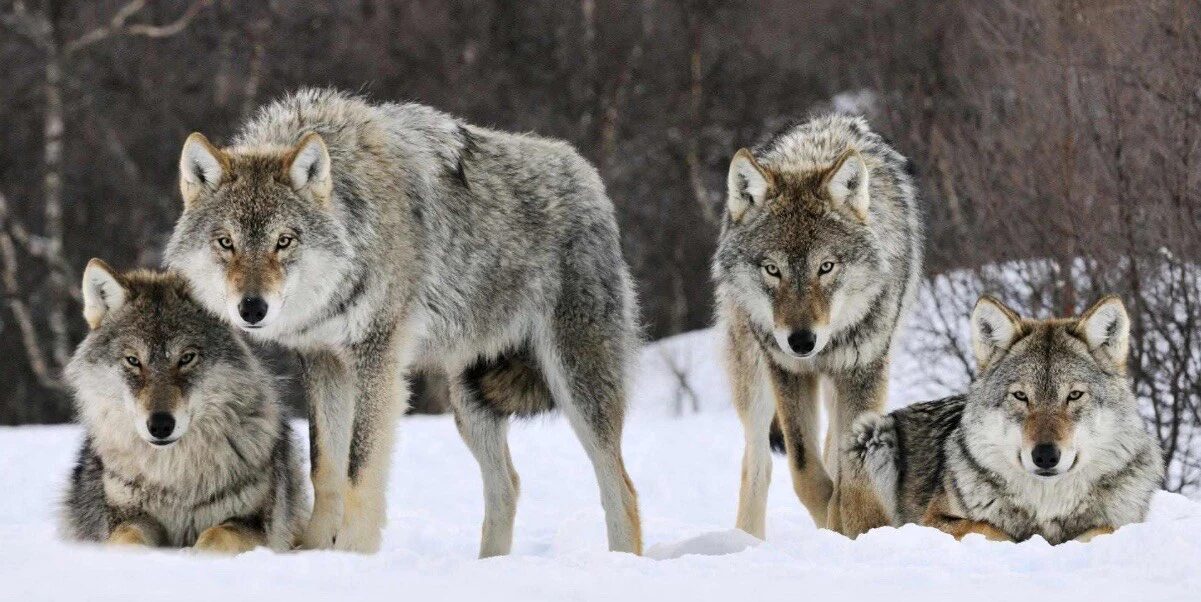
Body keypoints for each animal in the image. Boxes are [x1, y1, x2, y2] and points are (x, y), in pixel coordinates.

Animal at [62, 260, 308, 553]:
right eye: (133, 360)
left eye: (187, 358)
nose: (160, 425)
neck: (175, 477)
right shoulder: (127, 516)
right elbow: (127, 539)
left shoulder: (253, 524)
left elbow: (216, 536)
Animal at [165, 89, 642, 556]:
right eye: (226, 242)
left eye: (284, 241)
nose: (252, 309)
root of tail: (588, 175)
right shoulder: (323, 361)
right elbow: (325, 468)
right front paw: (315, 551)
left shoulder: (378, 359)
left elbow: (359, 470)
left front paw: (352, 554)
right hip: (469, 400)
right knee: (508, 485)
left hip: (576, 384)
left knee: (621, 488)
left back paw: (622, 560)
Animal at [713, 114, 923, 538]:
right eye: (772, 269)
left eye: (826, 267)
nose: (801, 341)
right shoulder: (788, 371)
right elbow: (805, 470)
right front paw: (831, 520)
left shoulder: (863, 371)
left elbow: (849, 475)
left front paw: (850, 527)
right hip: (754, 377)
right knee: (758, 463)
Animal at [845, 295, 1164, 543]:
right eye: (1021, 396)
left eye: (1074, 395)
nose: (1045, 456)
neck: (1047, 505)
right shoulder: (934, 521)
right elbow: (990, 528)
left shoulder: (1123, 523)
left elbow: (1103, 529)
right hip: (870, 433)